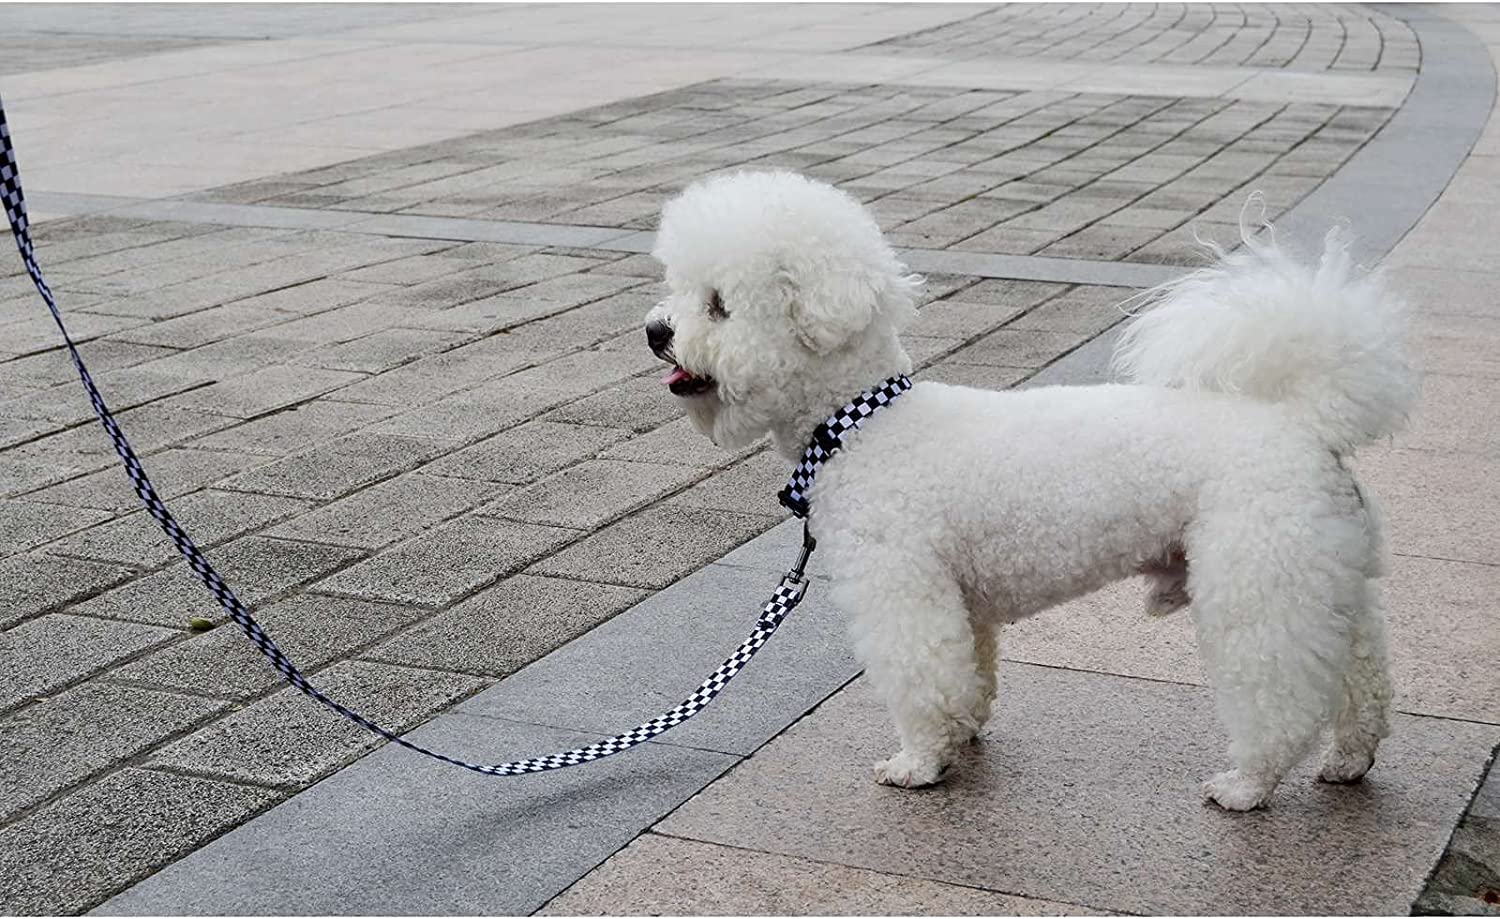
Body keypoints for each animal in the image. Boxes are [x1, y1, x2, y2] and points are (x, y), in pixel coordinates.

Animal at [639, 168, 1410, 803]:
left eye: (719, 305)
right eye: (678, 290)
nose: (653, 330)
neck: (860, 426)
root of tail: (1305, 420)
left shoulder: (903, 586)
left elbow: (924, 678)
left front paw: (919, 763)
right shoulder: (960, 598)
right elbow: (970, 673)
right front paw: (964, 735)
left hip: (1258, 573)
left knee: (1278, 692)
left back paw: (1247, 783)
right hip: (1323, 574)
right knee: (1360, 671)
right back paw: (1350, 760)